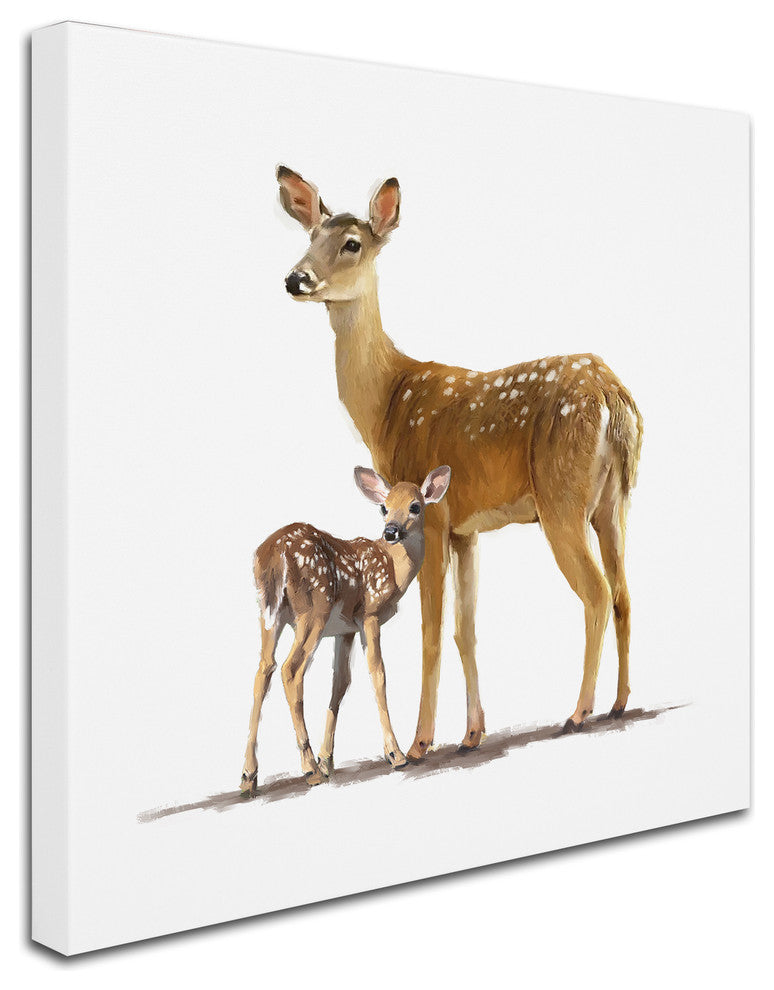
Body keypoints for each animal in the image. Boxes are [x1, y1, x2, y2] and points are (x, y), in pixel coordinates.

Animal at [240, 463, 452, 794]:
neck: (393, 569)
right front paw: (395, 754)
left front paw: (328, 762)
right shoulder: (369, 614)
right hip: (313, 609)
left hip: (268, 612)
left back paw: (249, 776)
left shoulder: (345, 629)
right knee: (291, 670)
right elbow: (377, 673)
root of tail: (274, 553)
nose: (391, 531)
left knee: (264, 670)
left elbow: (340, 683)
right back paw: (308, 769)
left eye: (415, 506)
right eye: (384, 507)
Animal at [276, 165, 644, 761]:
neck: (388, 400)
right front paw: (472, 734)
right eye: (310, 236)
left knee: (596, 592)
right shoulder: (467, 529)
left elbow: (430, 633)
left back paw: (578, 712)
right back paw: (619, 703)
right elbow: (465, 630)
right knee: (625, 592)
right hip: (616, 500)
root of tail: (614, 395)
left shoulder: (433, 517)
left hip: (561, 497)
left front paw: (421, 742)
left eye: (352, 243)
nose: (295, 279)